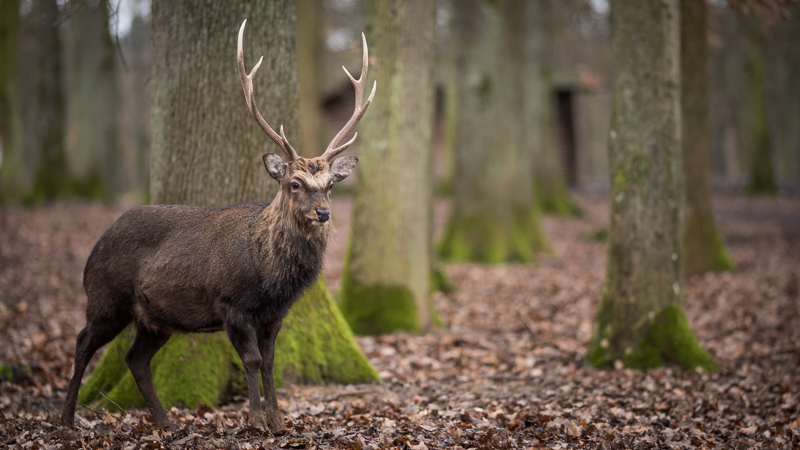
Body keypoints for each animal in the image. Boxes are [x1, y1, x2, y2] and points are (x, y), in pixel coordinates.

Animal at [61, 19, 376, 430]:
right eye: (295, 183)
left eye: (330, 185)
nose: (322, 213)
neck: (269, 275)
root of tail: (94, 248)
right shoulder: (231, 303)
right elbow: (253, 360)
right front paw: (256, 420)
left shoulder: (275, 314)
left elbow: (271, 363)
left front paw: (278, 422)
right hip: (106, 297)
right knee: (83, 341)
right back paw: (66, 418)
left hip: (154, 318)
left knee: (135, 358)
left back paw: (165, 422)